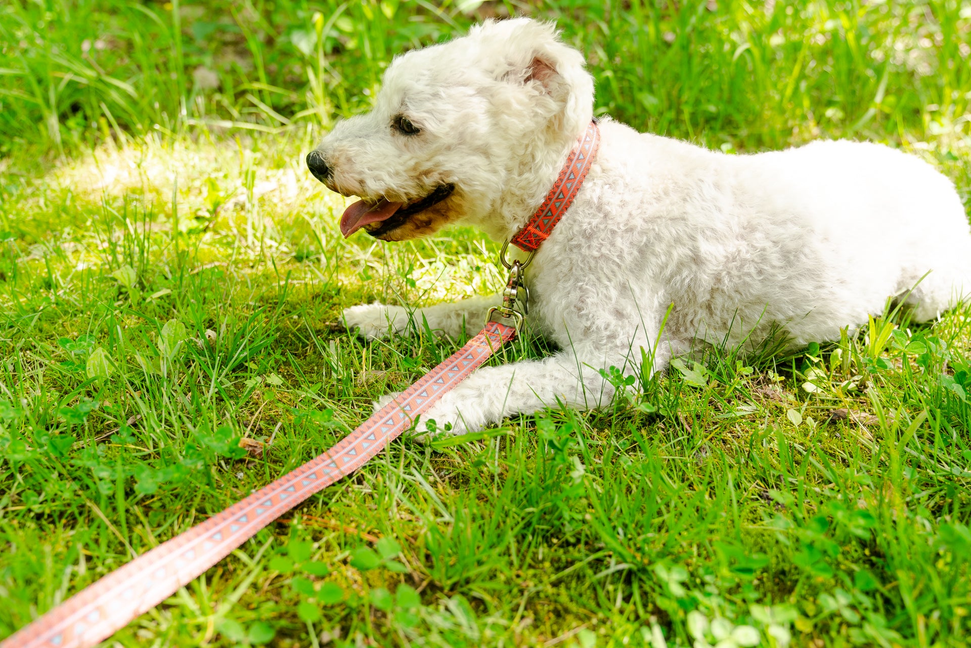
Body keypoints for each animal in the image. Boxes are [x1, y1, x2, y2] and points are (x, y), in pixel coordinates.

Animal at [308, 19, 971, 436]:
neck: (569, 195)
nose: (315, 162)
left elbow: (497, 379)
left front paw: (415, 411)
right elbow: (455, 314)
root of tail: (934, 174)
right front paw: (382, 319)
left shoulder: (612, 360)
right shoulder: (536, 307)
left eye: (407, 125)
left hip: (930, 292)